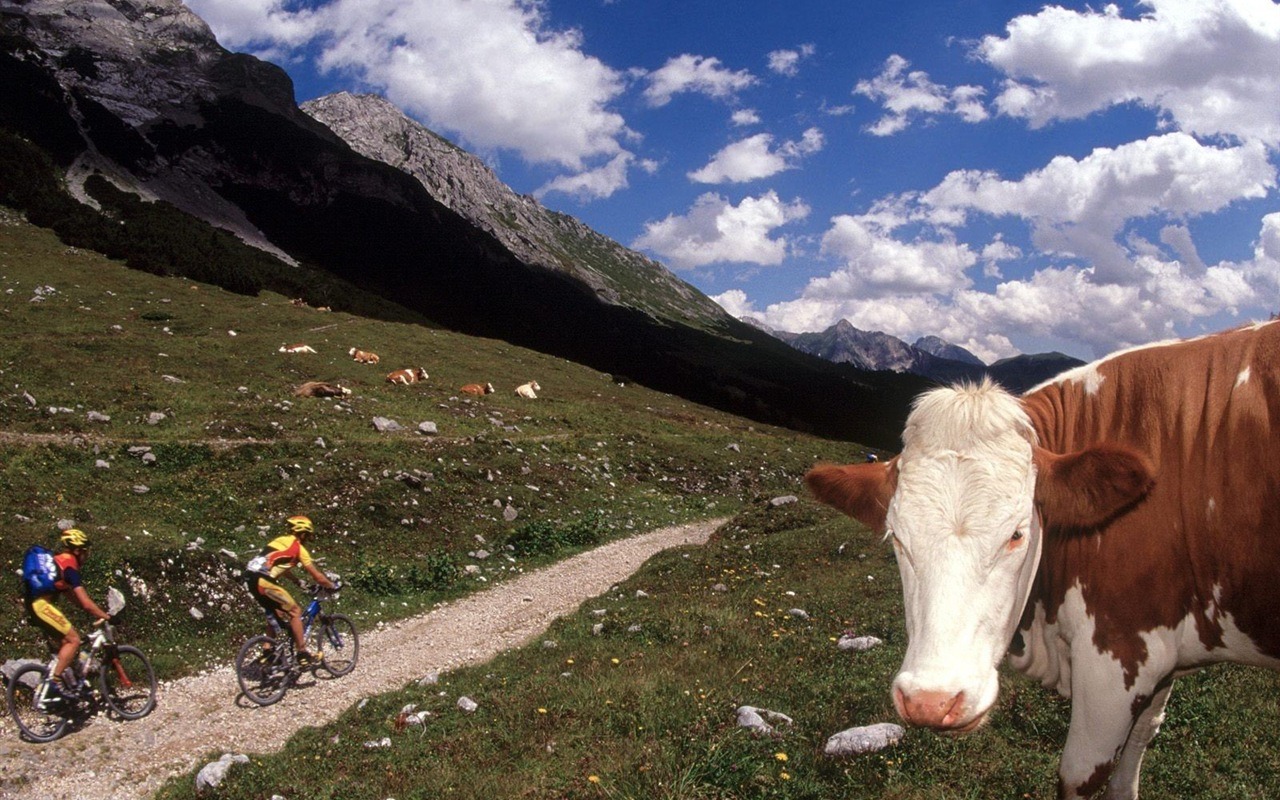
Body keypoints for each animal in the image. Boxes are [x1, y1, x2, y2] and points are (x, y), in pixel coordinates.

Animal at [803, 320, 1280, 798]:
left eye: (1017, 534)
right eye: (897, 538)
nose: (930, 701)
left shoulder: (1120, 655)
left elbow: (1081, 773)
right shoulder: (1163, 648)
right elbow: (1136, 748)